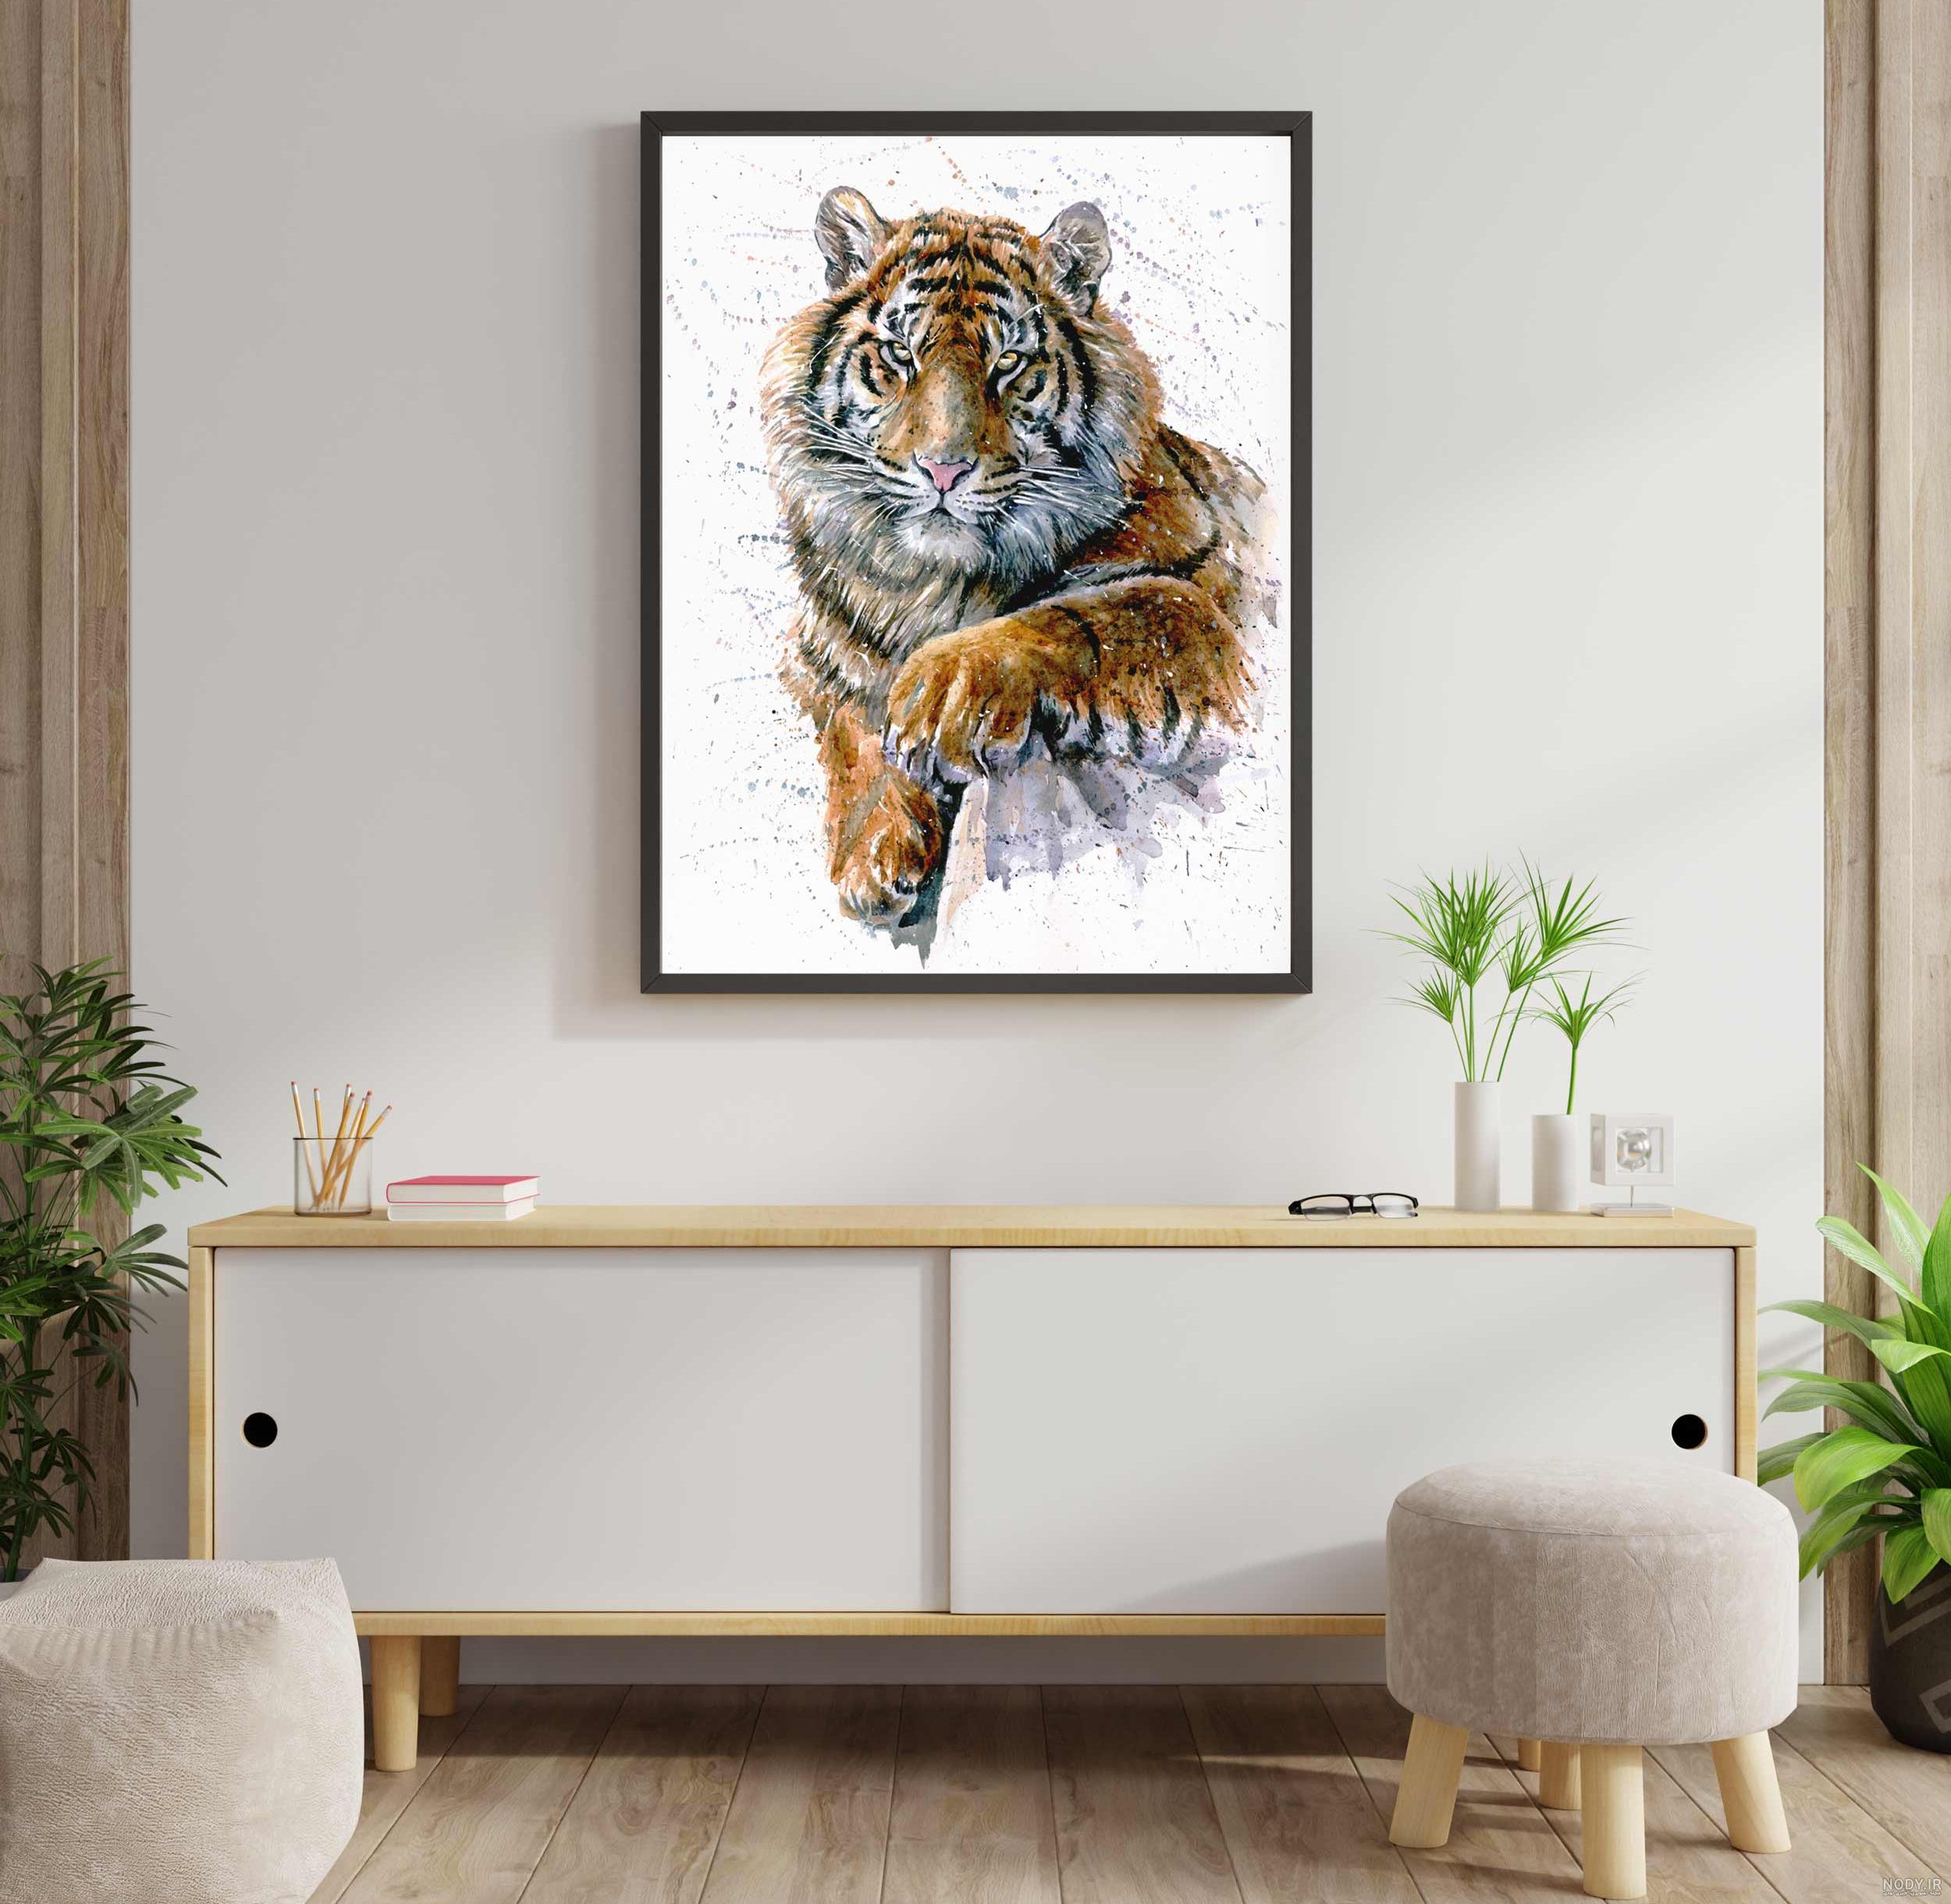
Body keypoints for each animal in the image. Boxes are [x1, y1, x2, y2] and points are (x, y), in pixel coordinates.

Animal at [759, 186, 1269, 931]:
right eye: (900, 355)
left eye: (1008, 364)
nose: (943, 470)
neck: (933, 585)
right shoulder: (821, 653)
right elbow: (850, 726)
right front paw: (873, 854)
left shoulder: (1204, 600)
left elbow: (1079, 615)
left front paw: (938, 693)